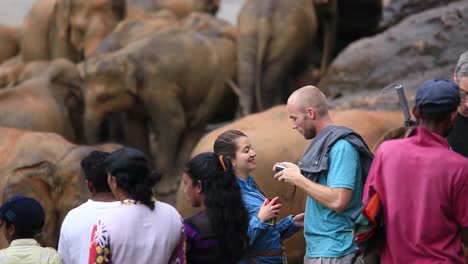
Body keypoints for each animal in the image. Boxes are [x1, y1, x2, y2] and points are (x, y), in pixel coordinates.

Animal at [81, 13, 238, 195]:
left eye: (105, 97)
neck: (127, 57)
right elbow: (135, 128)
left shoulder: (159, 86)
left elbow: (172, 122)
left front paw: (162, 189)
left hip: (216, 82)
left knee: (195, 122)